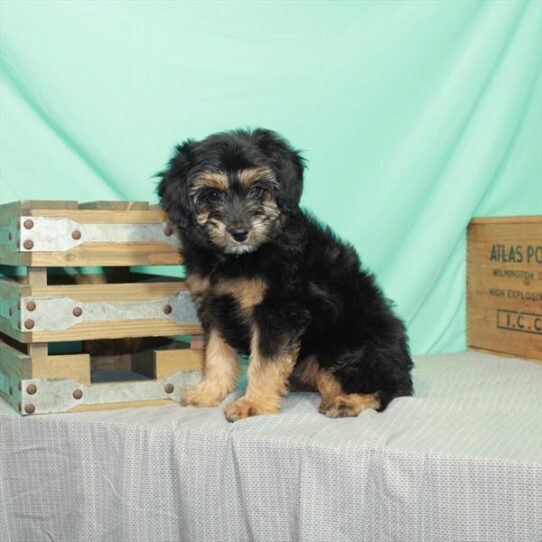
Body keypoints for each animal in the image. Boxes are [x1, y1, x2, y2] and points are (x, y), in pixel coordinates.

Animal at [159, 130, 414, 422]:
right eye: (211, 194)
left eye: (257, 189)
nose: (239, 232)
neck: (238, 258)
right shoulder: (214, 307)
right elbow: (216, 353)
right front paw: (208, 392)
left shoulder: (278, 310)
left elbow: (265, 361)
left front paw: (254, 403)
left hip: (343, 350)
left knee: (390, 389)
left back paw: (347, 402)